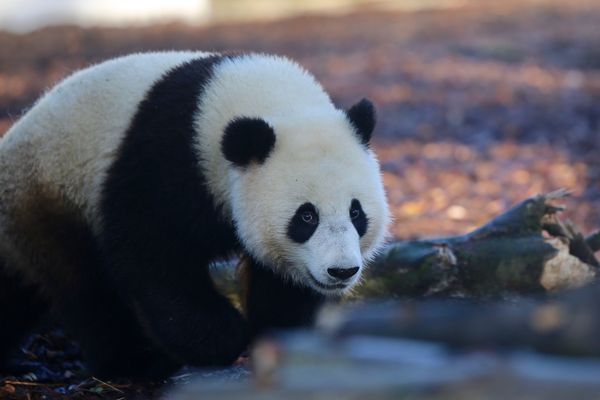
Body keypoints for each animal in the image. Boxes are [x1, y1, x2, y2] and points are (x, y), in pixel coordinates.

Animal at [0, 51, 390, 380]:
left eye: (356, 212)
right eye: (306, 217)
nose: (341, 271)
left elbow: (282, 283)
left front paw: (281, 338)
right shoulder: (164, 161)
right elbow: (150, 253)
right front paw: (225, 337)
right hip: (50, 192)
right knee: (86, 287)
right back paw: (137, 362)